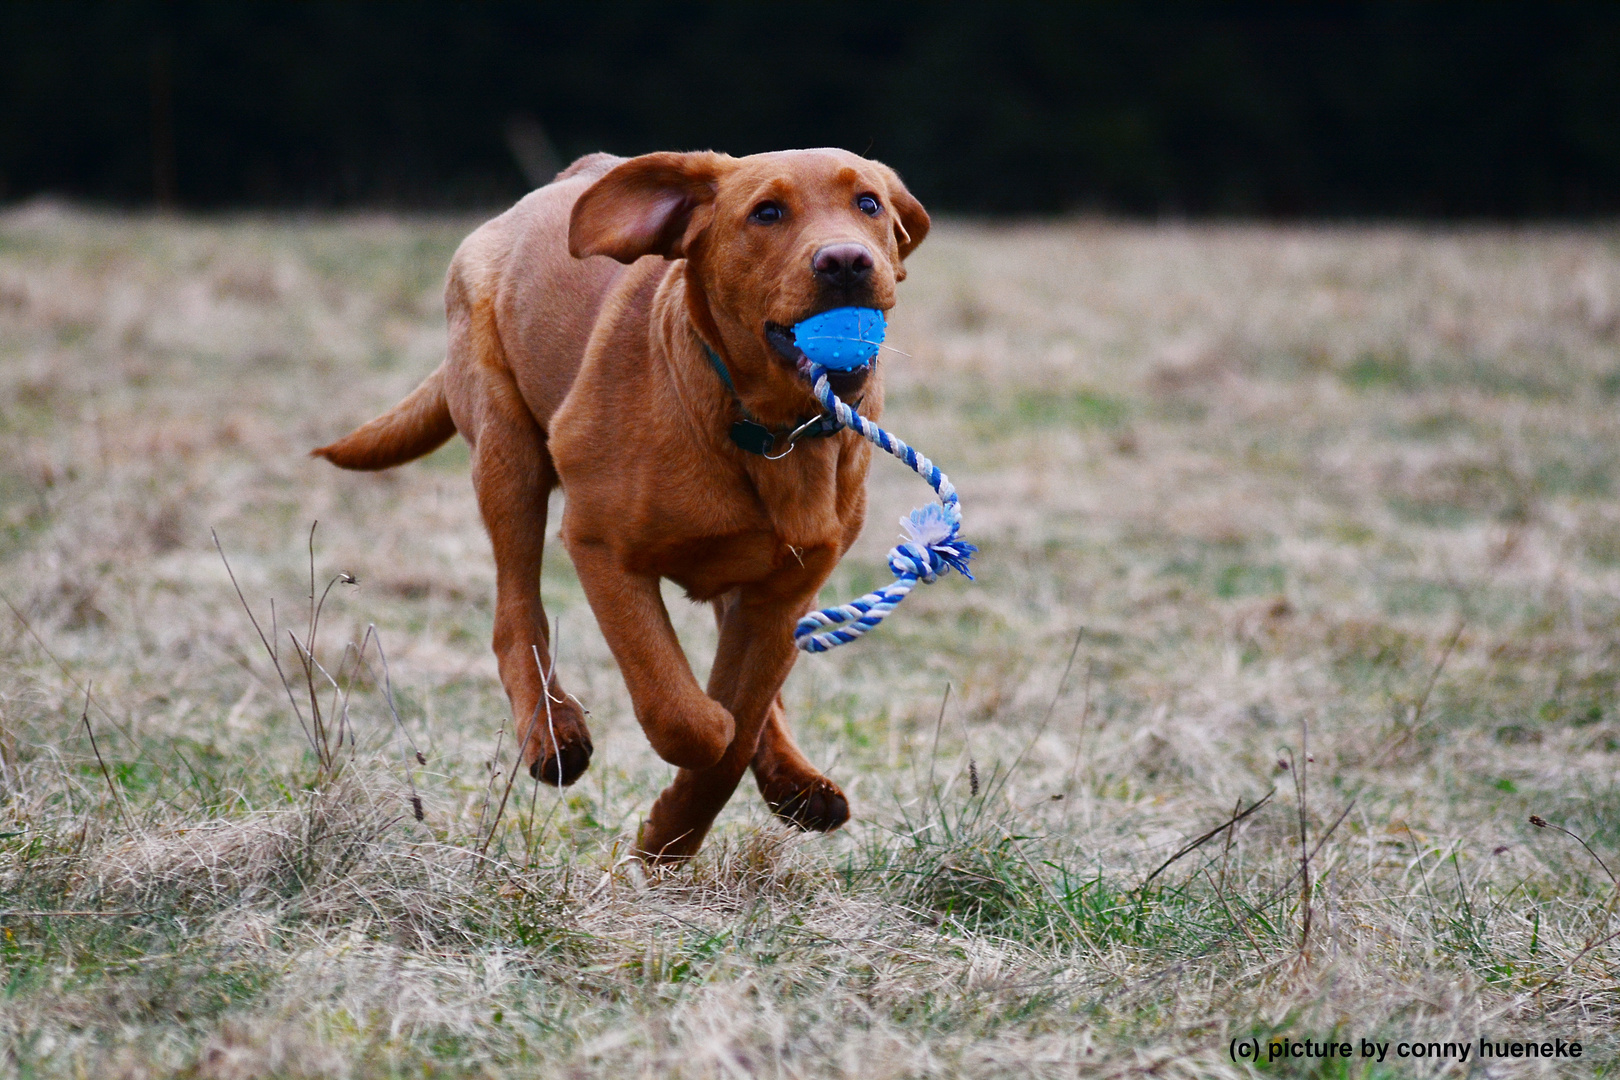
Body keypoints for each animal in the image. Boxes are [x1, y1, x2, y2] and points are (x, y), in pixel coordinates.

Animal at [311, 152, 933, 861]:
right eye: (766, 213)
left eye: (869, 204)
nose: (846, 261)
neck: (762, 427)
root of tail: (572, 176)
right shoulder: (602, 547)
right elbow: (686, 714)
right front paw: (675, 808)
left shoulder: (786, 590)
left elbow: (735, 729)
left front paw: (670, 839)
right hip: (506, 453)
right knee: (515, 614)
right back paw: (552, 734)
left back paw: (794, 782)